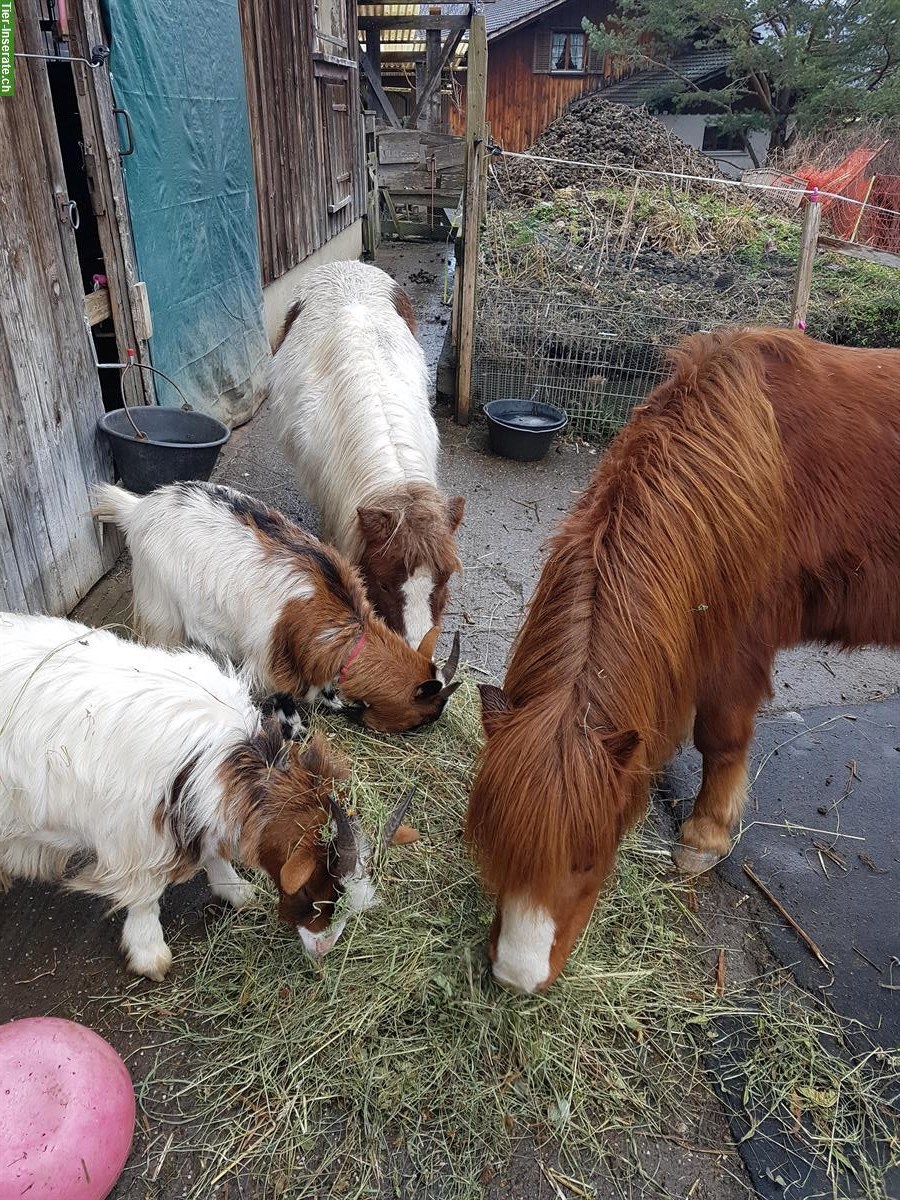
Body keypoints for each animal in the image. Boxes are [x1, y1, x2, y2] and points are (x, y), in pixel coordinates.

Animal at [0, 614, 415, 979]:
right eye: (313, 893)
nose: (325, 947)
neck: (223, 761)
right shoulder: (134, 840)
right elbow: (145, 896)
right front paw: (150, 954)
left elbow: (213, 850)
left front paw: (238, 891)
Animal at [465, 328, 900, 993]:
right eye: (496, 844)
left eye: (589, 858)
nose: (517, 974)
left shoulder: (738, 645)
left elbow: (719, 738)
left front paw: (705, 835)